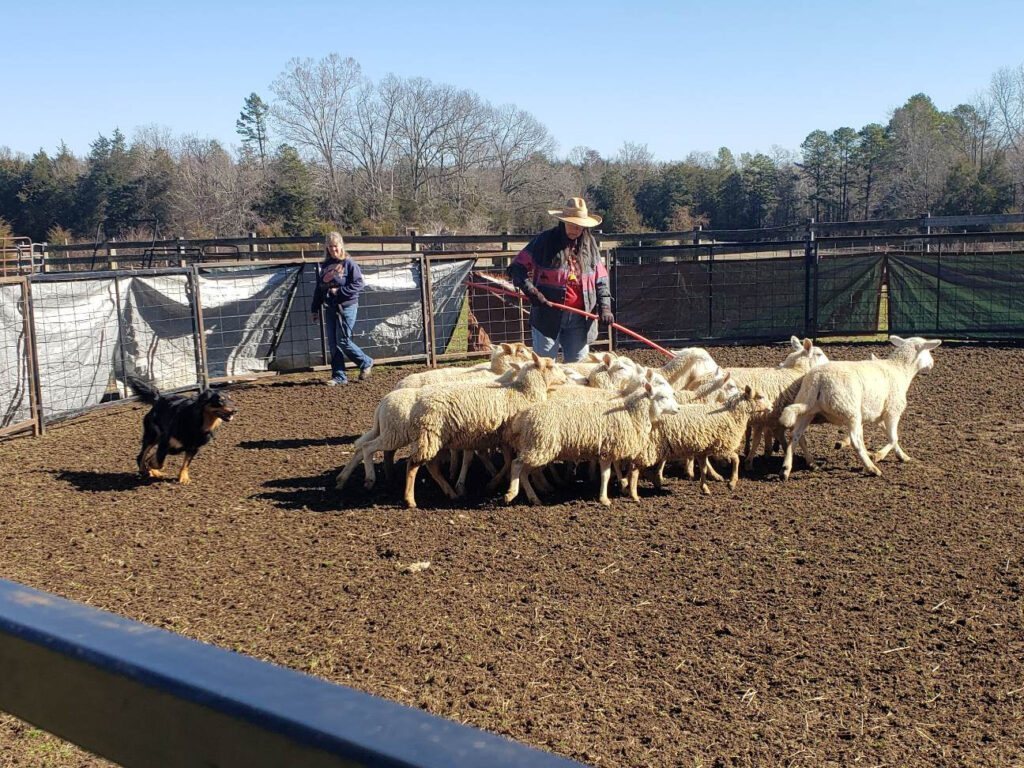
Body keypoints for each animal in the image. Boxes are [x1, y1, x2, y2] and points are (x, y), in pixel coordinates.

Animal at [774, 335, 942, 481]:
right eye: (928, 351)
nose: (932, 364)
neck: (900, 369)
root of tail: (819, 379)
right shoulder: (892, 411)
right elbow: (894, 438)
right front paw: (877, 455)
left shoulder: (876, 414)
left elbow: (889, 436)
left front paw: (902, 456)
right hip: (850, 411)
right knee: (856, 441)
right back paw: (871, 468)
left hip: (808, 409)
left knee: (795, 436)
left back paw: (785, 470)